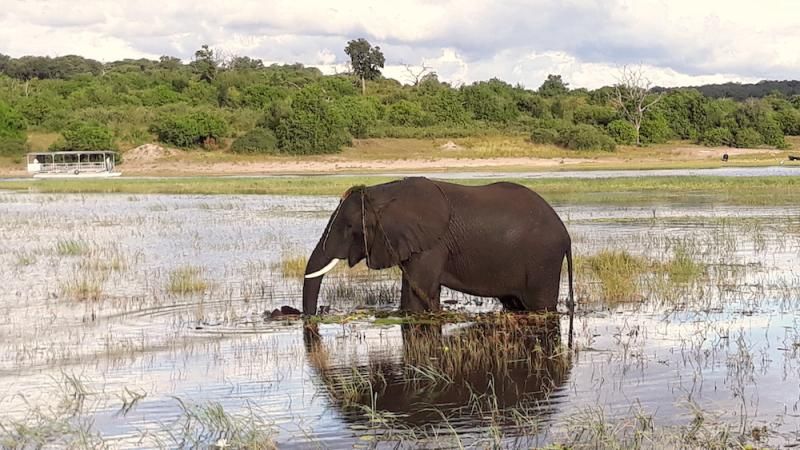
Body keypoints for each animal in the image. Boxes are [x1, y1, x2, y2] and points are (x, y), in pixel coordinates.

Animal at [301, 177, 574, 320]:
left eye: (349, 226)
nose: (313, 317)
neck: (384, 193)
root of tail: (566, 234)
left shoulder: (432, 245)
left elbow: (415, 301)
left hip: (543, 260)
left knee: (540, 306)